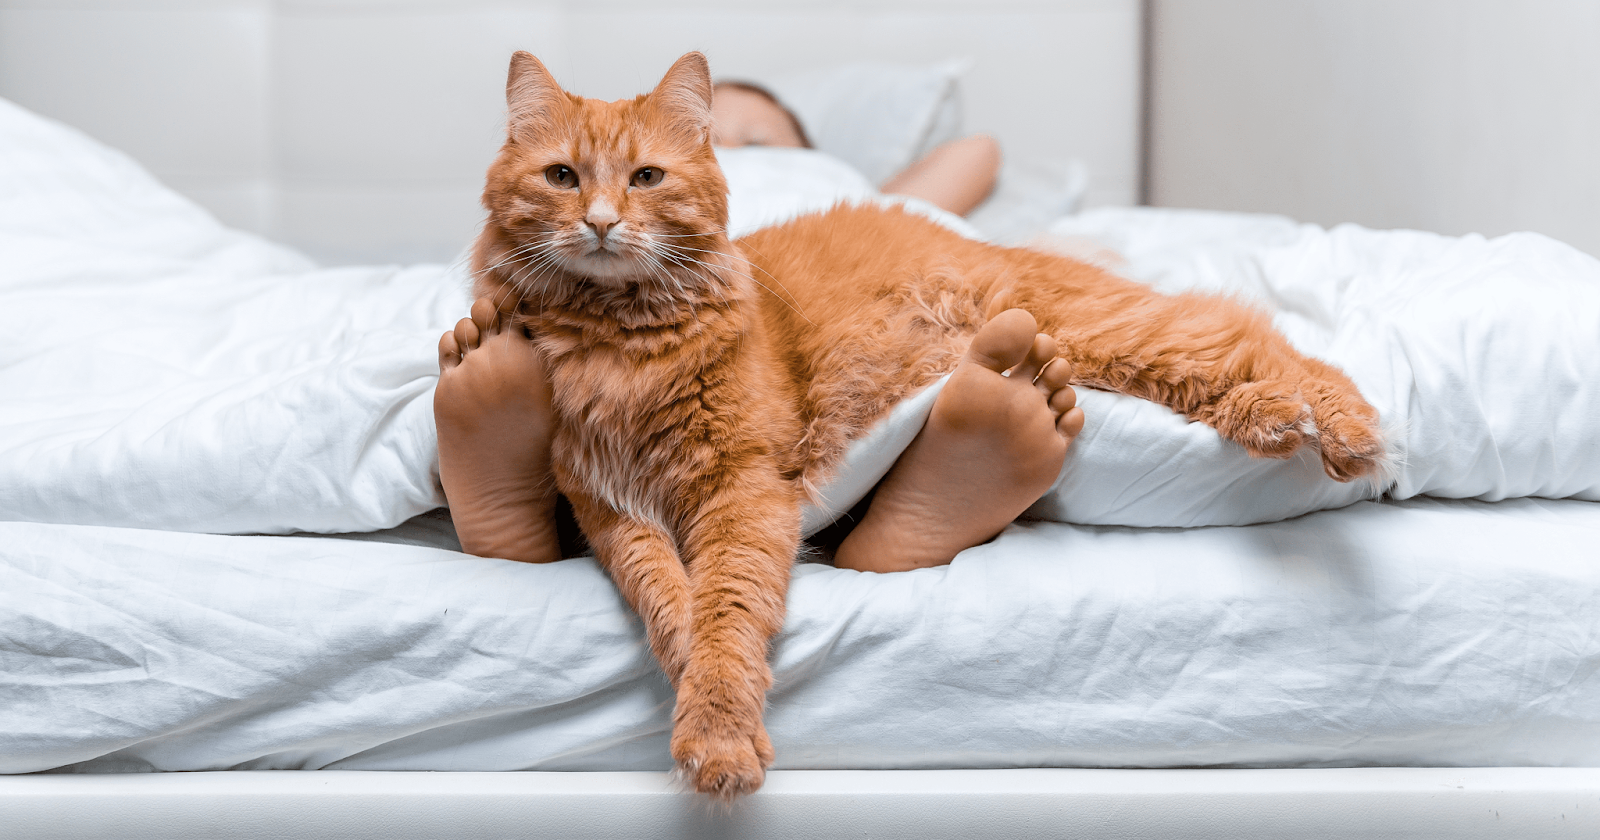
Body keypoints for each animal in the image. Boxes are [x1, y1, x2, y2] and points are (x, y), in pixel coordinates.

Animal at [467, 49, 1382, 796]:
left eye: (648, 178)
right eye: (562, 177)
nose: (600, 220)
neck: (621, 347)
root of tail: (979, 245)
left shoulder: (744, 488)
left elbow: (728, 607)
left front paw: (720, 727)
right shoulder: (611, 507)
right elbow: (669, 603)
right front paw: (700, 689)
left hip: (1101, 331)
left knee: (1252, 335)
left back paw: (1343, 429)